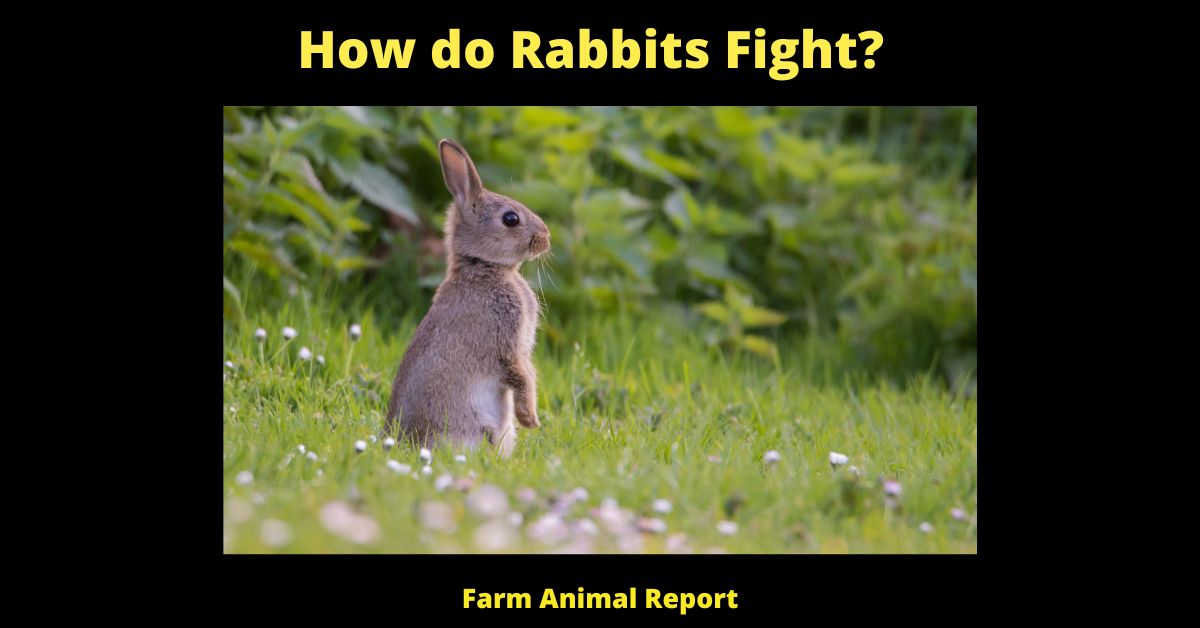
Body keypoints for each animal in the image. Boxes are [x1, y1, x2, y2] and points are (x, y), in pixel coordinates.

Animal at [383, 139, 551, 458]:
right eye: (510, 219)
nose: (546, 238)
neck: (483, 266)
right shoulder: (506, 342)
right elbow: (520, 375)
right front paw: (530, 419)